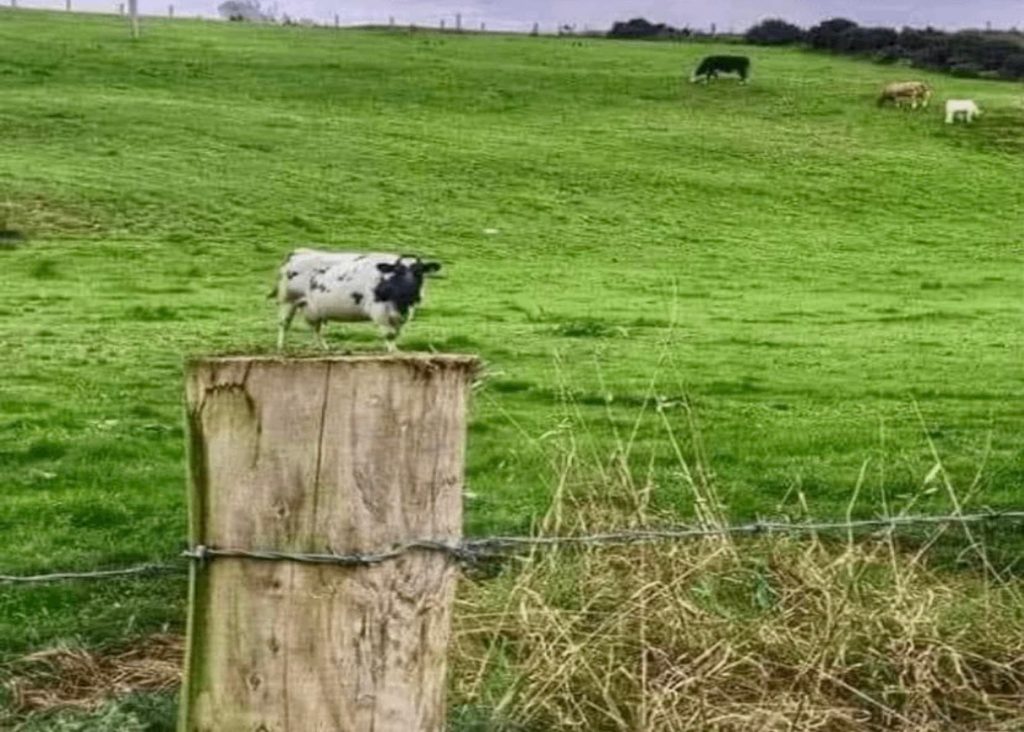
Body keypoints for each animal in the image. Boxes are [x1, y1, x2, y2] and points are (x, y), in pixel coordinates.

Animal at [270, 250, 442, 354]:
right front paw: (392, 351)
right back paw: (280, 347)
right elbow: (389, 334)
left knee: (316, 329)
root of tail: (299, 252)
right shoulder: (379, 310)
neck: (401, 301)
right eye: (397, 271)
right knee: (284, 324)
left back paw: (325, 348)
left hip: (312, 308)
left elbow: (396, 333)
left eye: (419, 271)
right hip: (288, 301)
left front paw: (395, 350)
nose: (409, 288)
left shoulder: (403, 314)